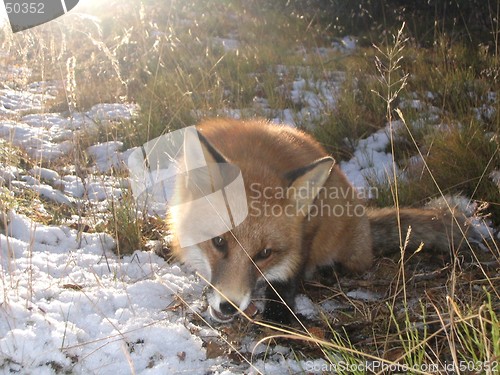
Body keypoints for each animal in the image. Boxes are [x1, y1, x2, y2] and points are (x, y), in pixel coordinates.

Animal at [169, 119, 468, 324]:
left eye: (265, 253)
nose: (228, 306)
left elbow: (288, 278)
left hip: (348, 249)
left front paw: (279, 316)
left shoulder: (308, 229)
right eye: (218, 242)